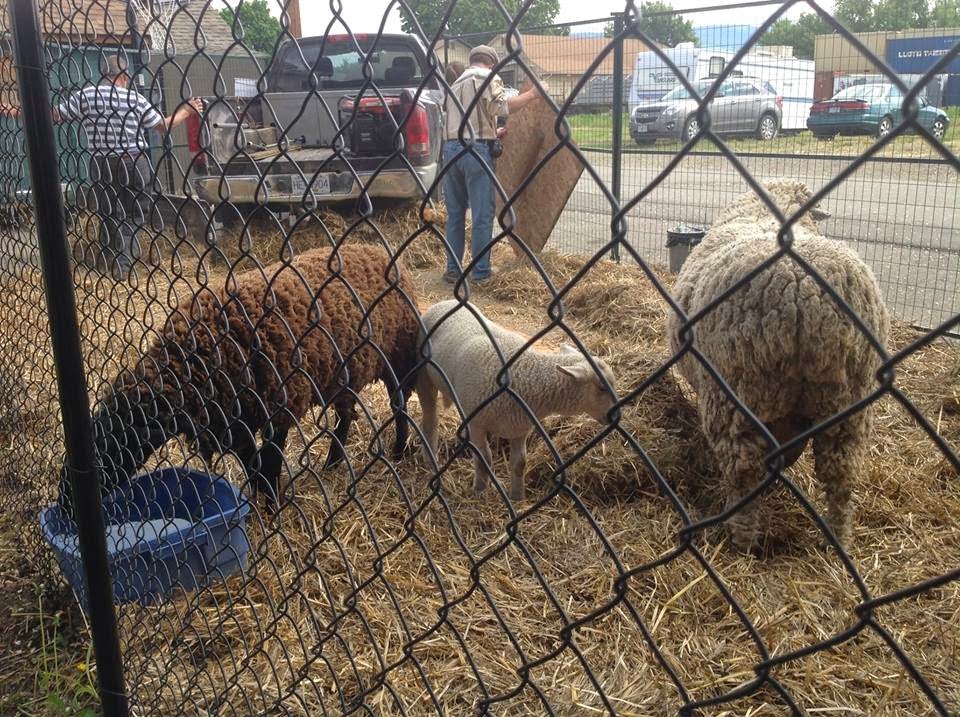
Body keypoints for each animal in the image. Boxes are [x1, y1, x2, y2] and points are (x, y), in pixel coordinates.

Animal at [59, 244, 420, 515]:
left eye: (106, 447)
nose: (65, 506)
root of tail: (378, 251)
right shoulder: (235, 423)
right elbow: (254, 464)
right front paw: (261, 499)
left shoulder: (277, 407)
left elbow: (269, 462)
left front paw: (272, 506)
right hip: (344, 374)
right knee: (346, 415)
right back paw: (332, 463)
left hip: (399, 359)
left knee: (399, 407)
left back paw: (399, 451)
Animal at [416, 299, 618, 501]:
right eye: (602, 387)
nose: (614, 417)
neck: (524, 377)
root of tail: (445, 302)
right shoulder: (477, 424)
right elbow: (484, 459)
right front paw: (479, 490)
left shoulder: (520, 427)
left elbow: (520, 463)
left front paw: (517, 497)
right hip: (424, 377)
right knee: (430, 418)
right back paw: (429, 459)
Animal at [667, 180, 890, 552]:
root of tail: (803, 288)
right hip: (847, 400)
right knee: (841, 474)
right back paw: (838, 537)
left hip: (739, 394)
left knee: (743, 471)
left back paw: (741, 537)